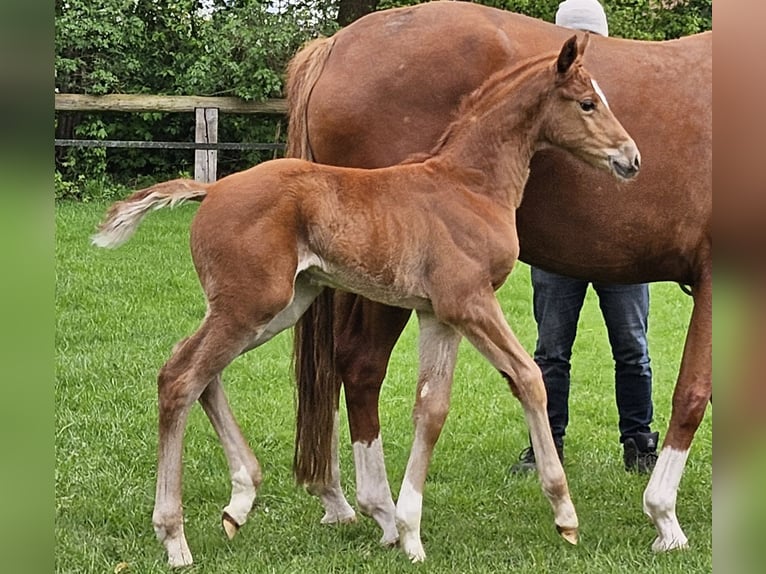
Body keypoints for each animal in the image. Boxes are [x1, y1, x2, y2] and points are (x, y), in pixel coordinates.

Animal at [288, 0, 712, 560]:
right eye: (587, 103)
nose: (631, 158)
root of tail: (335, 45)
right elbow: (692, 393)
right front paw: (664, 518)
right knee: (360, 364)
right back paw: (381, 509)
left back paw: (344, 500)